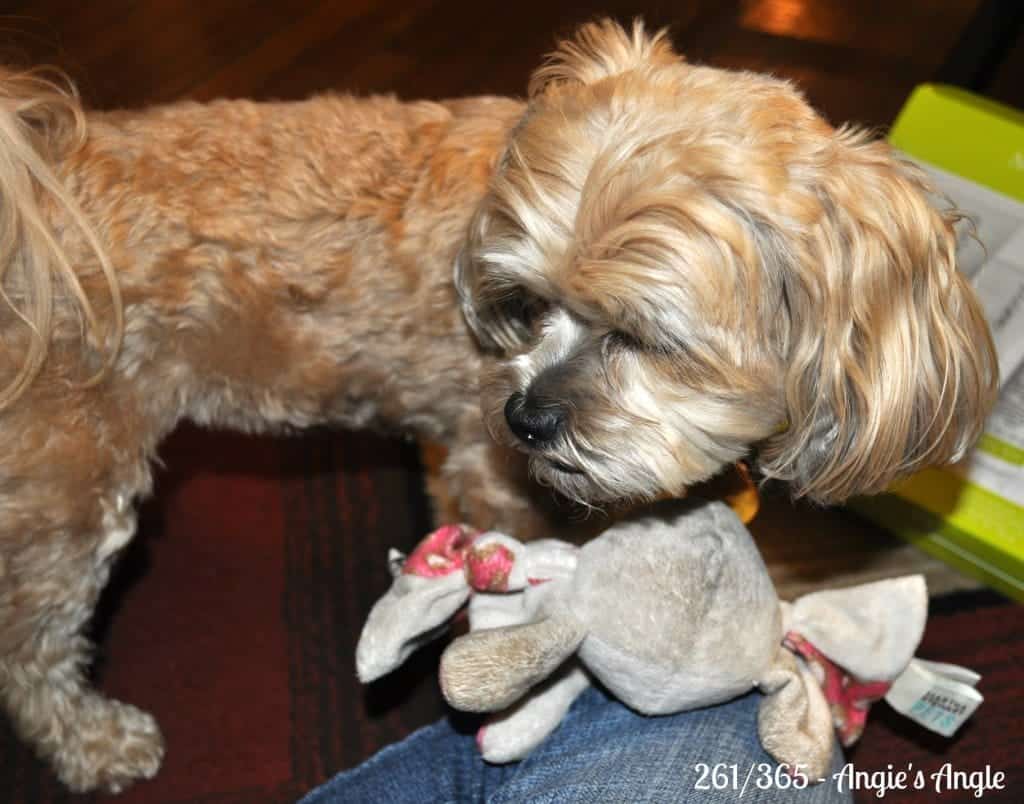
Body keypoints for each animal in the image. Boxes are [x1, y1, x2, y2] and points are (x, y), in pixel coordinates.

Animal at [0, 17, 995, 790]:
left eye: (645, 337)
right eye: (528, 300)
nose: (525, 419)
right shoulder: (488, 472)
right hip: (69, 490)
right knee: (29, 651)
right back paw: (94, 743)